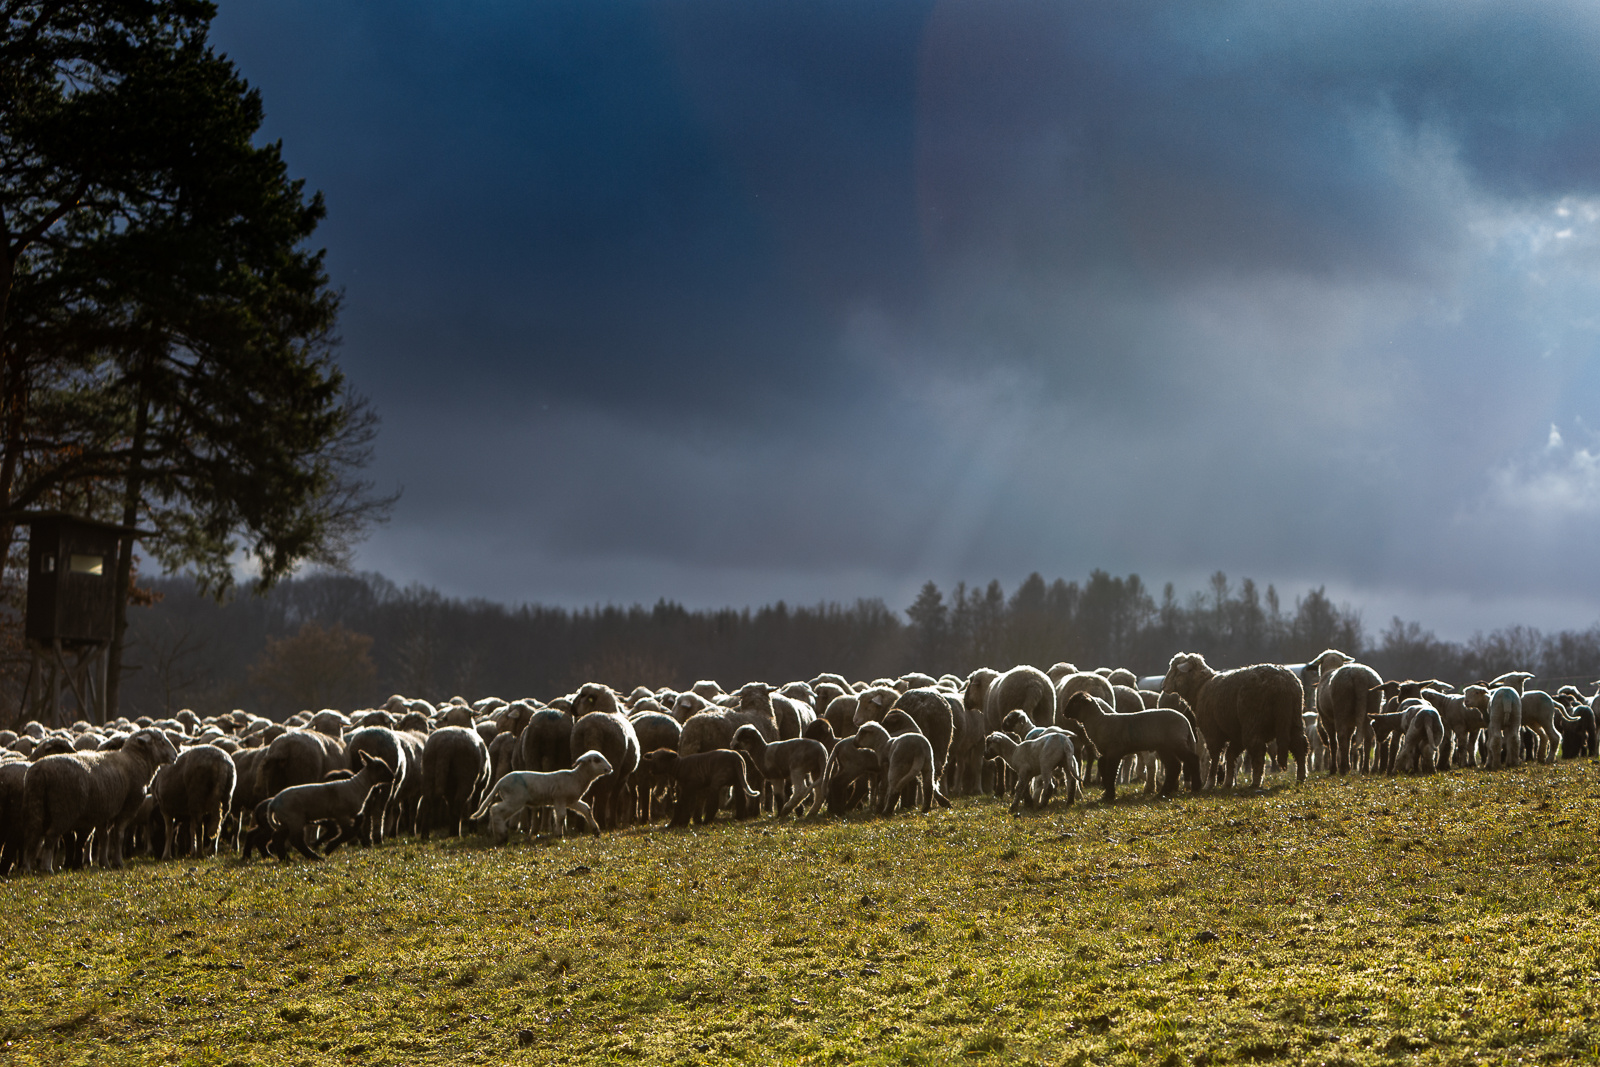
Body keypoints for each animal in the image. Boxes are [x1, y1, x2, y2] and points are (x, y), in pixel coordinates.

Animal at [23, 729, 178, 870]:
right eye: (161, 741)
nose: (175, 755)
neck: (135, 761)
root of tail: (39, 772)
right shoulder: (126, 809)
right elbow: (118, 836)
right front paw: (118, 862)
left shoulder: (104, 812)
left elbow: (104, 838)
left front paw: (104, 863)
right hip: (63, 809)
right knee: (50, 837)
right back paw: (46, 868)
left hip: (36, 806)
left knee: (32, 836)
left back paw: (27, 868)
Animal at [265, 755, 396, 863]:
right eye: (380, 767)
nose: (393, 776)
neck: (358, 786)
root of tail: (273, 803)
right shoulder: (341, 814)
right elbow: (348, 832)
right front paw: (329, 848)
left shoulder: (353, 814)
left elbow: (357, 825)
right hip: (295, 819)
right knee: (296, 840)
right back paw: (315, 857)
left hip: (285, 821)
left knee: (277, 837)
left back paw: (285, 859)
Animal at [470, 751, 614, 844]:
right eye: (596, 760)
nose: (610, 768)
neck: (576, 777)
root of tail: (500, 782)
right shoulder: (559, 798)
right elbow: (561, 816)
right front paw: (558, 834)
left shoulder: (571, 801)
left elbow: (586, 809)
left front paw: (596, 831)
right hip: (515, 799)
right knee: (495, 810)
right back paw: (502, 837)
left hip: (511, 798)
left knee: (495, 809)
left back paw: (499, 835)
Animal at [1056, 694, 1196, 799]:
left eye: (1074, 702)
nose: (1064, 713)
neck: (1099, 721)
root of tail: (1185, 721)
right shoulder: (1106, 753)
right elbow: (1103, 767)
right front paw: (1107, 793)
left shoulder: (1114, 752)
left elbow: (1111, 771)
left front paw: (1110, 796)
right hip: (1165, 747)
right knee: (1174, 766)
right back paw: (1163, 792)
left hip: (1176, 743)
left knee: (1191, 759)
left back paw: (1196, 787)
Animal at [1171, 652, 1305, 793]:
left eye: (1174, 670)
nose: (1164, 686)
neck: (1200, 688)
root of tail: (1282, 682)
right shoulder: (1236, 734)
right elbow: (1230, 756)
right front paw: (1227, 783)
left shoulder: (1212, 732)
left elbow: (1215, 757)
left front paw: (1209, 783)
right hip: (1294, 718)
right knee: (1299, 744)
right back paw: (1300, 777)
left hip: (1252, 721)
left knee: (1258, 748)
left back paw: (1256, 782)